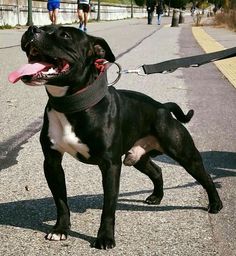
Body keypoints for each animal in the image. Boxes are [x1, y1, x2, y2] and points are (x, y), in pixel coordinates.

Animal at [9, 26, 222, 250]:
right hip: (138, 157)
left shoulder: (110, 165)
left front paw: (105, 238)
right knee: (157, 171)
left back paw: (215, 204)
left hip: (185, 154)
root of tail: (162, 106)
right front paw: (60, 229)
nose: (32, 29)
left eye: (64, 35)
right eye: (43, 27)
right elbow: (60, 200)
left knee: (206, 177)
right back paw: (156, 196)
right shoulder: (52, 163)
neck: (72, 104)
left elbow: (108, 206)